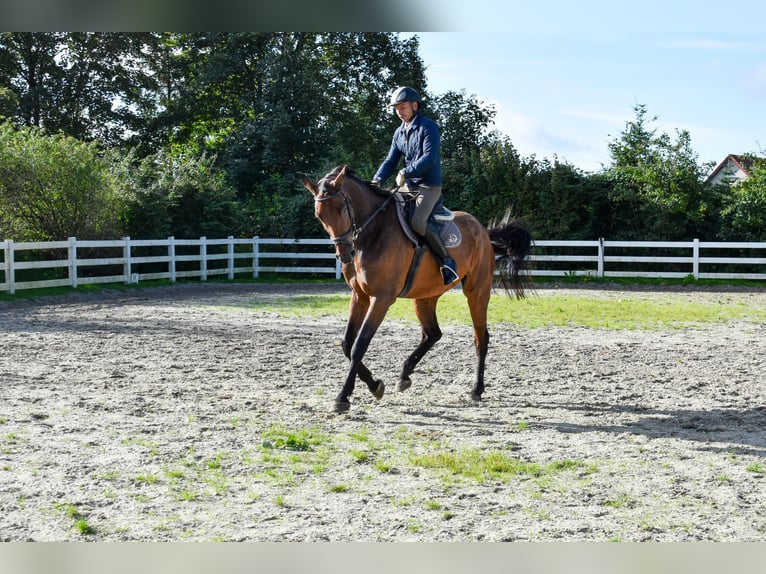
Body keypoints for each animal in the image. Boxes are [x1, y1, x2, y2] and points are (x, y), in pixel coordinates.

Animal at [300, 165, 532, 413]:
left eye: (343, 209)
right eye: (319, 216)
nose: (345, 254)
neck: (373, 231)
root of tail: (482, 231)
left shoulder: (381, 298)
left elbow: (359, 345)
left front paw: (343, 396)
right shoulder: (359, 296)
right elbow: (347, 344)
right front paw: (374, 385)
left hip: (477, 292)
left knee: (481, 338)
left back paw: (476, 390)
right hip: (424, 297)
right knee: (433, 333)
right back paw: (405, 375)